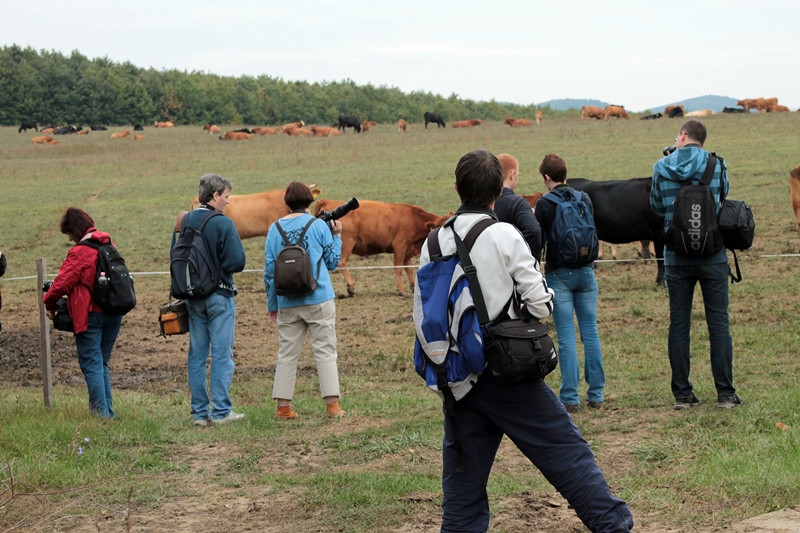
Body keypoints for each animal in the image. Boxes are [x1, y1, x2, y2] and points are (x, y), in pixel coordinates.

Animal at [312, 201, 450, 298]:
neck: (414, 218)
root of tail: (327, 202)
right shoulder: (399, 246)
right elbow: (399, 269)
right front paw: (401, 290)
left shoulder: (407, 251)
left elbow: (409, 270)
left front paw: (413, 287)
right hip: (346, 242)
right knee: (341, 262)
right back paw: (351, 286)